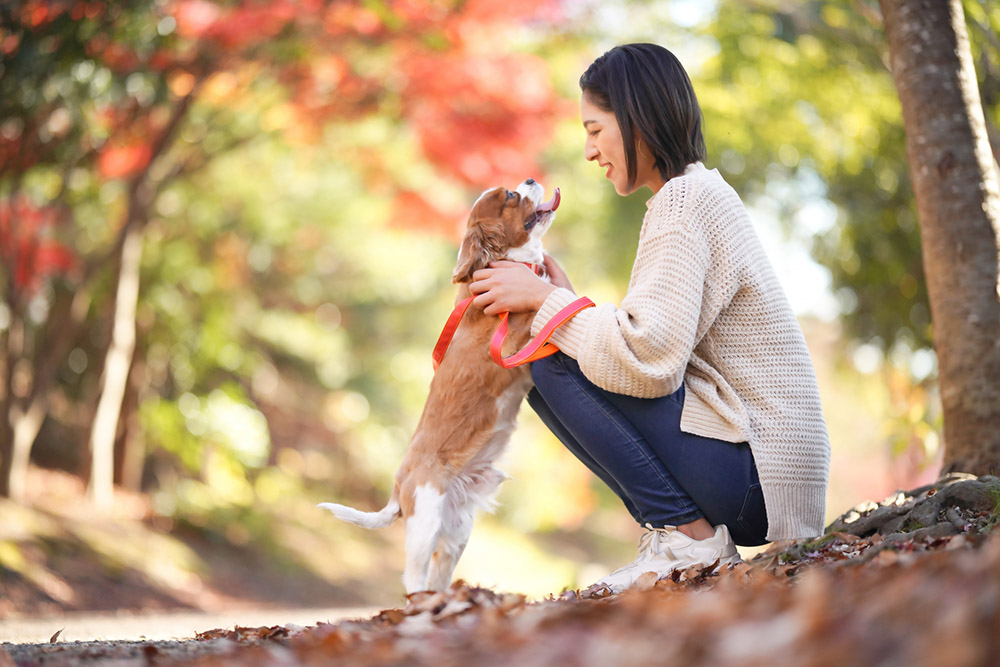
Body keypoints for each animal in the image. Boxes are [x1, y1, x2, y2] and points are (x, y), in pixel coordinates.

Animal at [318, 179, 560, 596]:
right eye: (510, 197)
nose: (528, 181)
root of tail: (399, 487)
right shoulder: (514, 343)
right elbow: (543, 309)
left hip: (457, 530)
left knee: (439, 576)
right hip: (426, 520)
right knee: (415, 580)